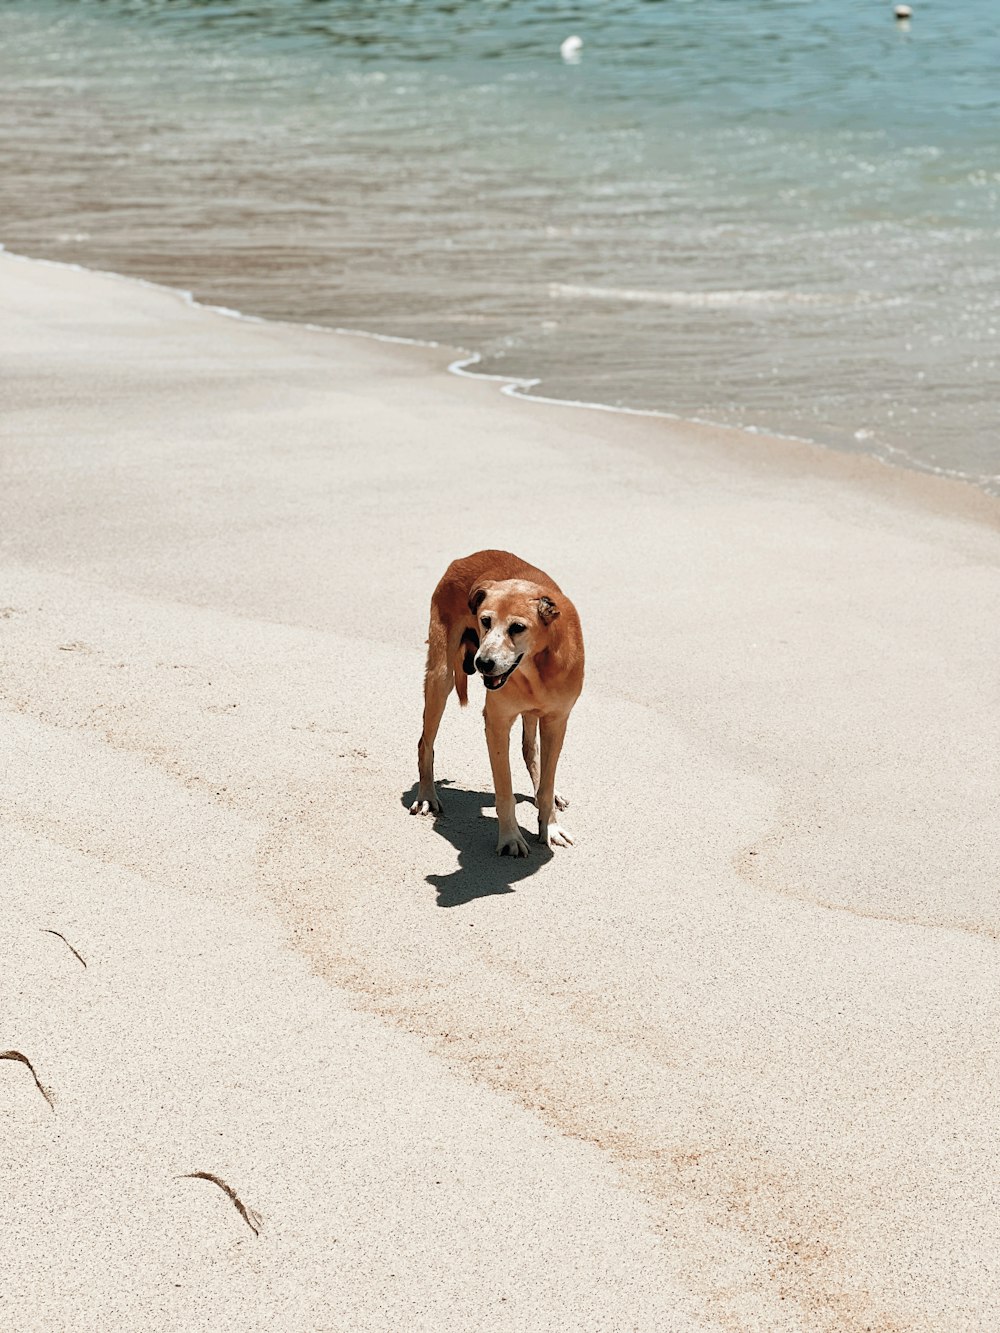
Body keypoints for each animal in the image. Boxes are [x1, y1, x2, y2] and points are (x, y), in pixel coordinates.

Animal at [408, 549, 584, 853]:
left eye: (518, 627)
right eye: (485, 621)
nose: (483, 663)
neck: (536, 667)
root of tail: (464, 559)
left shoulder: (556, 721)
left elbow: (546, 784)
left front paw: (550, 827)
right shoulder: (497, 723)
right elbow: (504, 791)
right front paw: (511, 838)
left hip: (533, 714)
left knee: (530, 750)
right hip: (441, 679)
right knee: (425, 742)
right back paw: (427, 795)